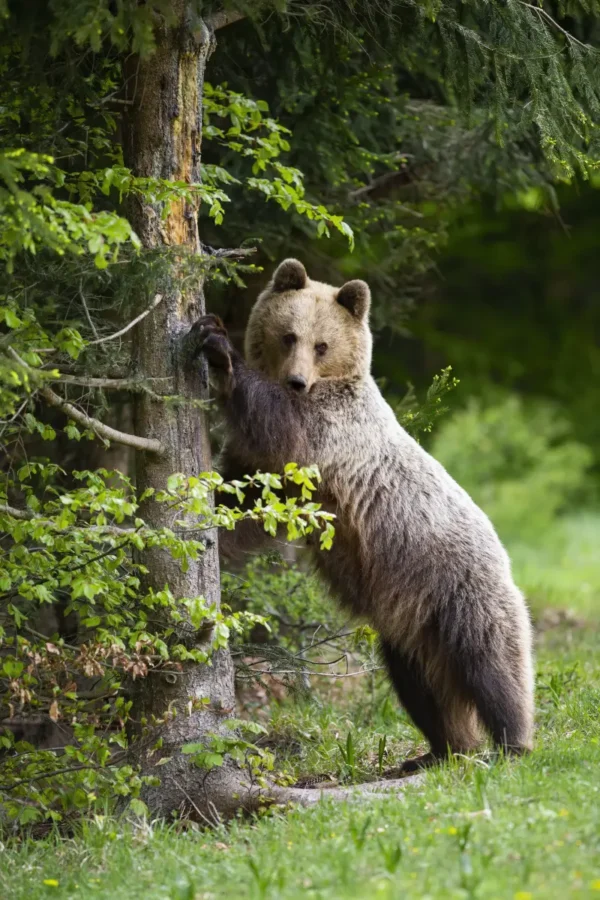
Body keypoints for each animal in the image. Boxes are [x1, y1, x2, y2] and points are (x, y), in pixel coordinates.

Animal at [189, 258, 535, 772]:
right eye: (288, 335)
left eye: (321, 344)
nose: (297, 380)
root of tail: (503, 556)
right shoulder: (268, 471)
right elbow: (244, 500)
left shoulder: (327, 433)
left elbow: (281, 423)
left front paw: (218, 346)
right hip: (412, 624)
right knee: (423, 688)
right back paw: (440, 751)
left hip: (463, 591)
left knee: (493, 665)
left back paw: (513, 744)